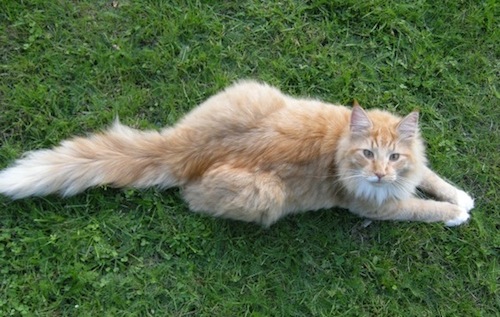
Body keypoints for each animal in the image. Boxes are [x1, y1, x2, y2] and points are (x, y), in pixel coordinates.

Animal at [0, 80, 474, 226]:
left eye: (393, 157)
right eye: (366, 155)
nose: (379, 175)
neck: (338, 144)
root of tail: (183, 148)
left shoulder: (414, 170)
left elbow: (432, 178)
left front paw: (461, 196)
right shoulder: (374, 207)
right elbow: (419, 208)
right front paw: (455, 213)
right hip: (267, 195)